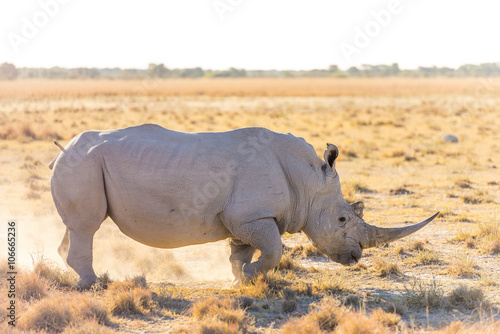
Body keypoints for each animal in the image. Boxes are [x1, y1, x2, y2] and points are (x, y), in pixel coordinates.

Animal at [48, 124, 436, 288]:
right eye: (342, 218)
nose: (355, 257)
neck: (308, 181)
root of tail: (63, 149)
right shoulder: (251, 215)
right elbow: (274, 251)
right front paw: (250, 277)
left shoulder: (245, 217)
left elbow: (242, 251)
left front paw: (239, 280)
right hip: (82, 164)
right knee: (87, 226)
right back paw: (93, 284)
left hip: (80, 164)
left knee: (73, 227)